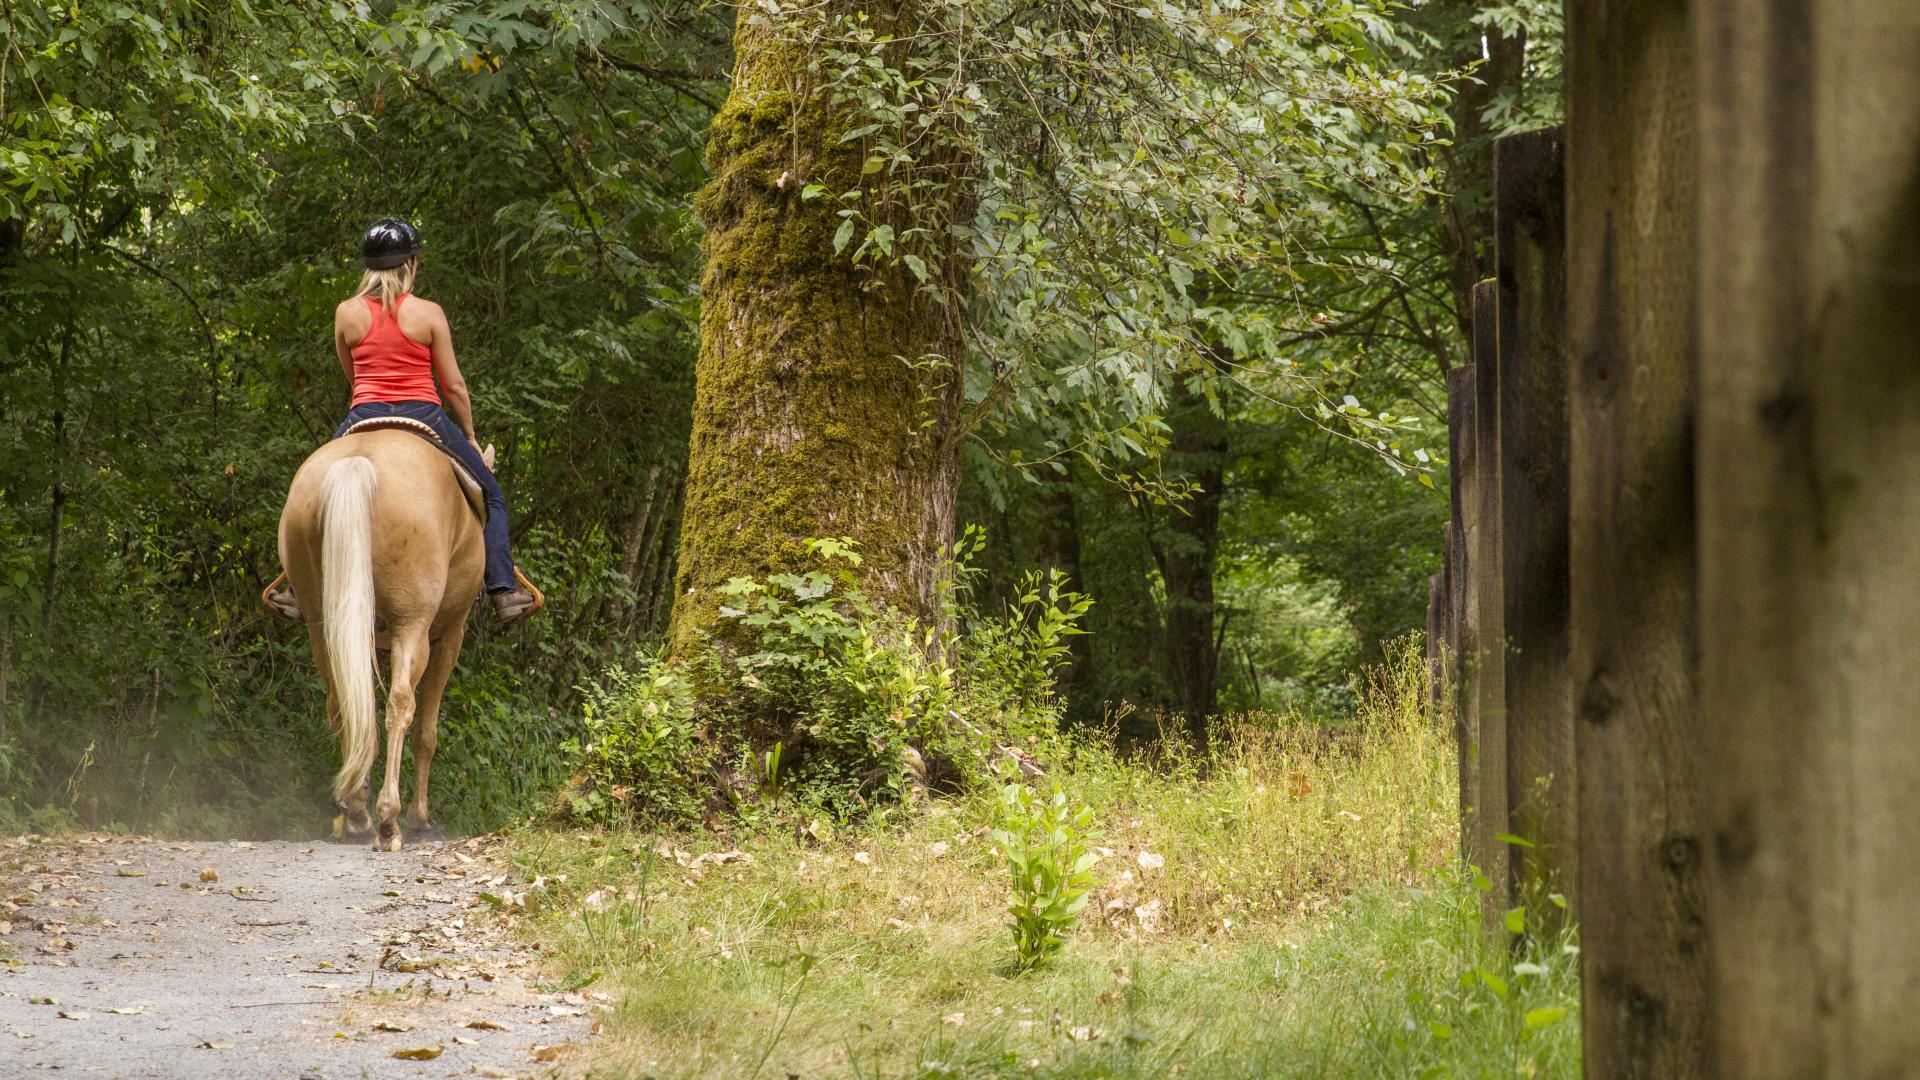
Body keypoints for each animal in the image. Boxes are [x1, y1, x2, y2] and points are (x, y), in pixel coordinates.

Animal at [277, 427, 484, 851]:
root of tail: (356, 463)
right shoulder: (450, 636)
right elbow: (427, 733)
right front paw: (421, 818)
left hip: (323, 624)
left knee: (341, 704)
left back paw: (357, 813)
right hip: (412, 625)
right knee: (401, 705)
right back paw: (389, 819)